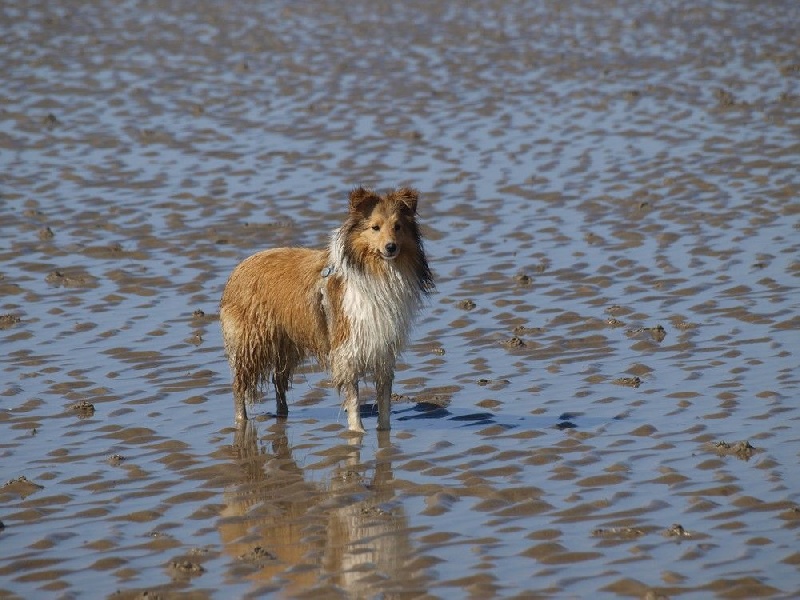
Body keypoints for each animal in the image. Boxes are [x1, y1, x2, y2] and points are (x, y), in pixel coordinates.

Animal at [219, 186, 434, 432]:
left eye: (397, 226)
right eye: (375, 227)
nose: (391, 247)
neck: (376, 272)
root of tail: (238, 269)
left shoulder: (382, 350)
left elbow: (384, 401)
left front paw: (384, 433)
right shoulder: (347, 349)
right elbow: (353, 399)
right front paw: (357, 431)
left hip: (286, 345)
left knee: (278, 382)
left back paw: (282, 415)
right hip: (252, 343)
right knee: (239, 386)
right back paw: (241, 420)